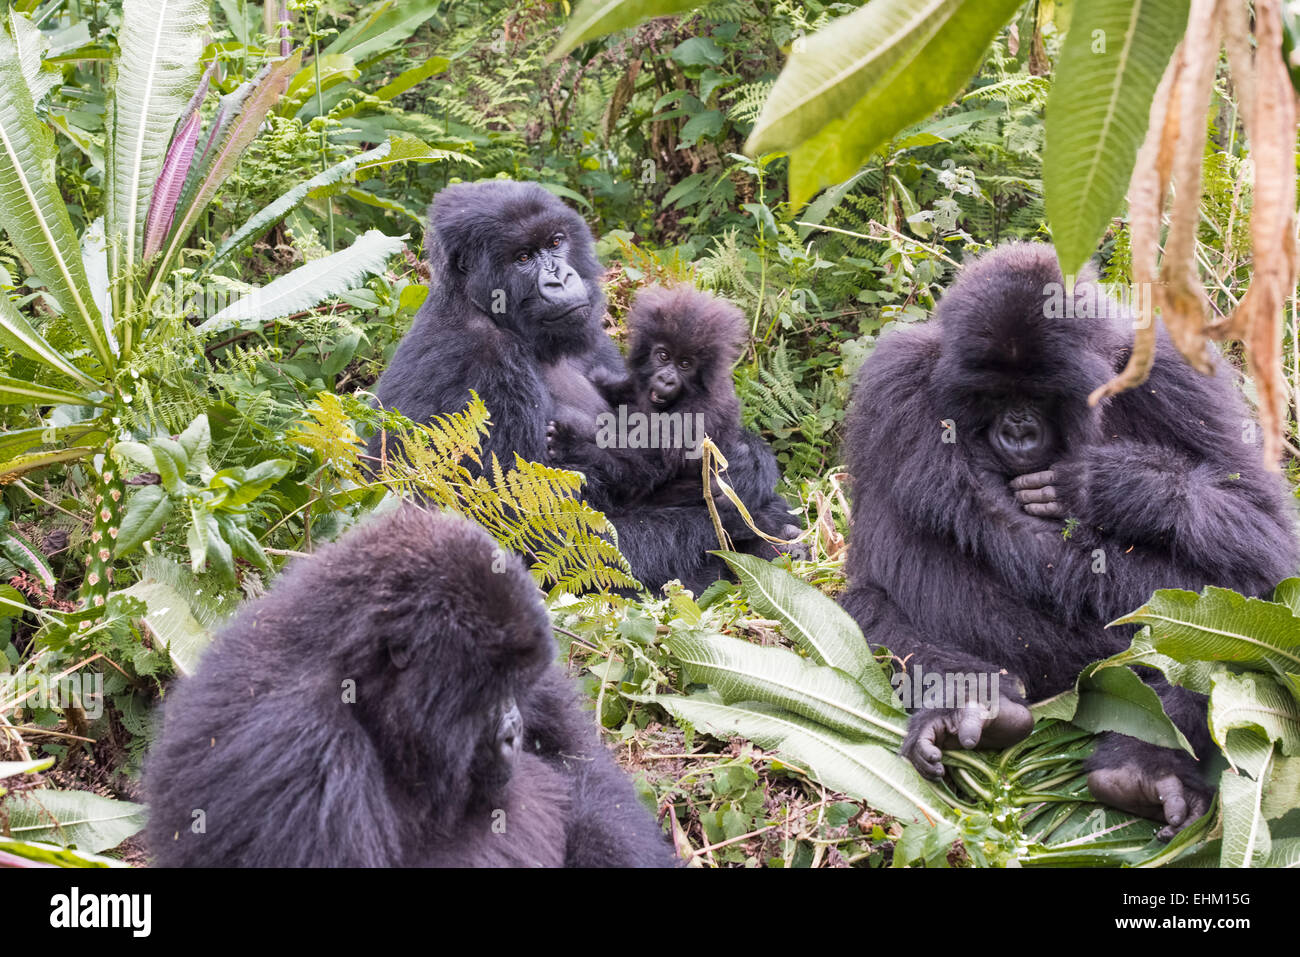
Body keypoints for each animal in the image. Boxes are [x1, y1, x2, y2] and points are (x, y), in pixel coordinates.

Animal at [369, 180, 800, 590]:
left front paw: (749, 464)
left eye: (555, 243)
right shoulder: (477, 363)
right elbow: (547, 539)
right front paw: (748, 508)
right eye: (522, 258)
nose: (560, 278)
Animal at [837, 244, 1294, 837]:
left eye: (1039, 395)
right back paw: (968, 701)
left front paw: (1114, 484)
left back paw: (1143, 769)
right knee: (871, 596)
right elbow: (874, 572)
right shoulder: (893, 383)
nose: (1017, 431)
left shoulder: (1174, 371)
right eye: (994, 395)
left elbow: (1270, 544)